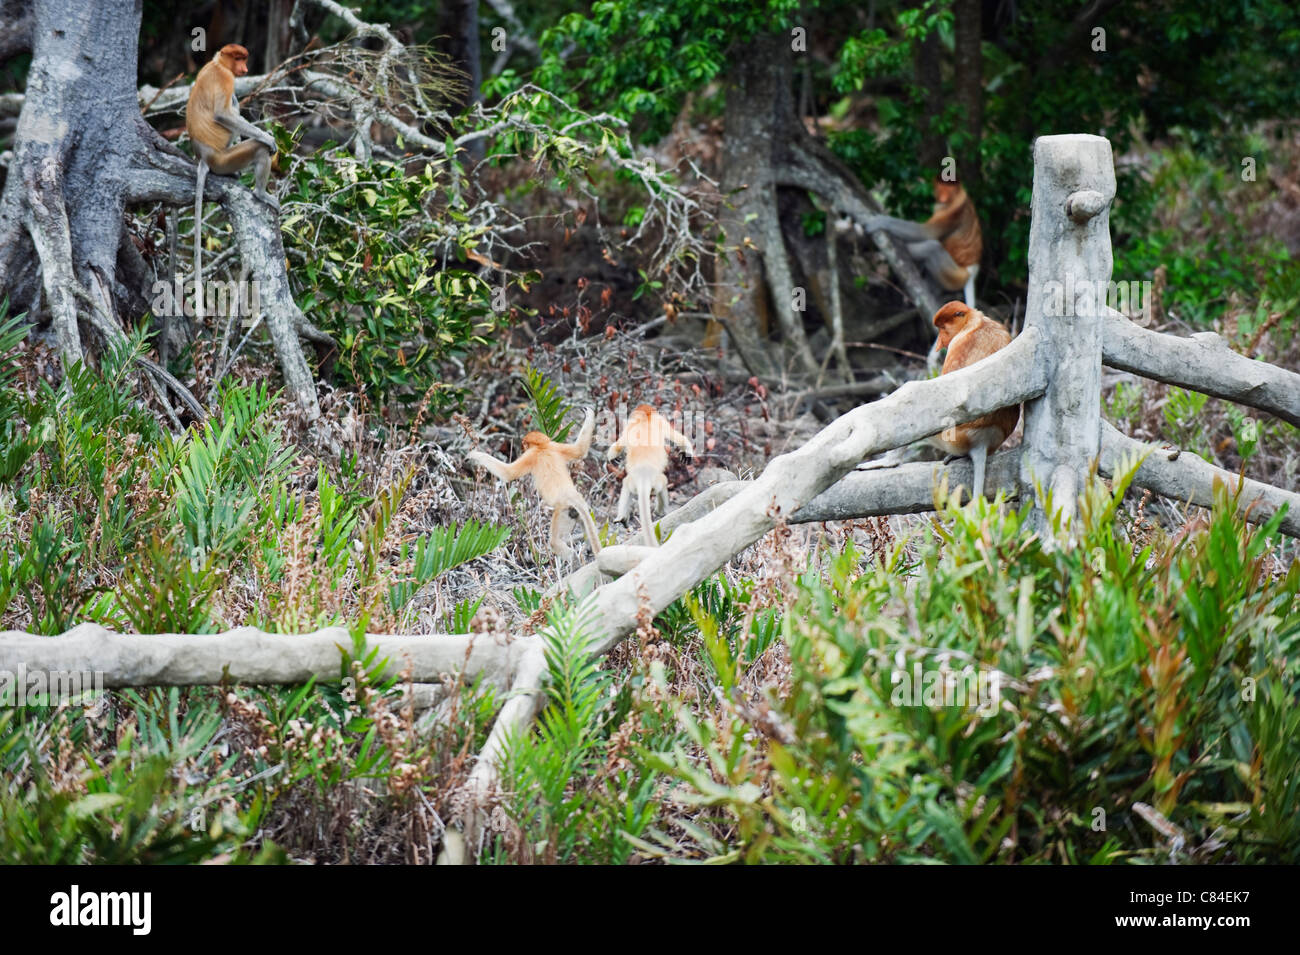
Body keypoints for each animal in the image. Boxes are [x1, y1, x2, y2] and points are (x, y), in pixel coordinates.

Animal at [186, 43, 279, 321]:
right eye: (238, 58)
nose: (245, 68)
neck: (218, 63)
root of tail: (204, 157)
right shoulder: (226, 79)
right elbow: (223, 114)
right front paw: (268, 138)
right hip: (225, 158)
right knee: (256, 148)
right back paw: (260, 193)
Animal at [467, 408, 603, 560]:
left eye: (524, 444)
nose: (522, 446)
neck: (542, 447)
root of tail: (571, 497)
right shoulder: (555, 445)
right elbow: (580, 450)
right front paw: (589, 413)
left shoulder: (531, 455)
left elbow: (508, 473)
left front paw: (474, 455)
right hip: (580, 511)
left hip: (563, 512)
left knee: (555, 542)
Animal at [606, 404, 694, 546]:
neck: (645, 418)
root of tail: (644, 476)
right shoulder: (659, 421)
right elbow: (678, 438)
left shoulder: (630, 426)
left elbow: (619, 445)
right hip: (656, 481)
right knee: (663, 482)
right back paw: (660, 512)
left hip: (634, 483)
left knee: (626, 485)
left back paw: (622, 519)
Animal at [862, 177, 983, 308]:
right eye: (940, 187)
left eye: (949, 189)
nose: (942, 197)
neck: (956, 197)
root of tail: (973, 271)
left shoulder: (952, 211)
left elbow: (926, 233)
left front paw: (881, 221)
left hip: (956, 276)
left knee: (933, 248)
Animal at [929, 301, 1020, 502]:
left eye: (942, 328)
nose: (939, 342)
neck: (975, 323)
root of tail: (983, 439)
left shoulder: (958, 344)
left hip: (953, 437)